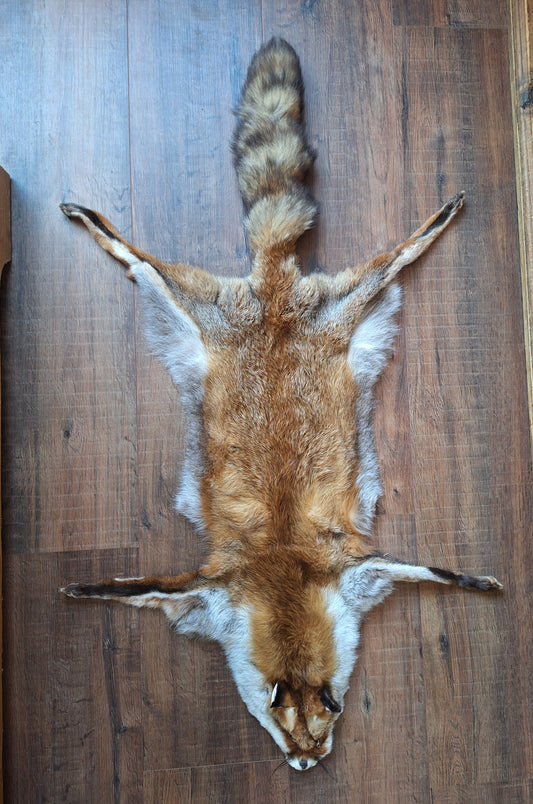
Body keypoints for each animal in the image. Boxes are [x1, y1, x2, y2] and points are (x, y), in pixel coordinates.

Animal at [59, 38, 501, 771]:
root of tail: (270, 291)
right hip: (196, 305)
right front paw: (84, 590)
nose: (307, 763)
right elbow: (127, 588)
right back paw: (97, 222)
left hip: (349, 304)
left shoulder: (348, 566)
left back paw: (437, 217)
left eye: (329, 705)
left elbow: (433, 568)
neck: (281, 562)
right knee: (139, 257)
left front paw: (478, 582)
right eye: (276, 712)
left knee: (396, 254)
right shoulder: (217, 581)